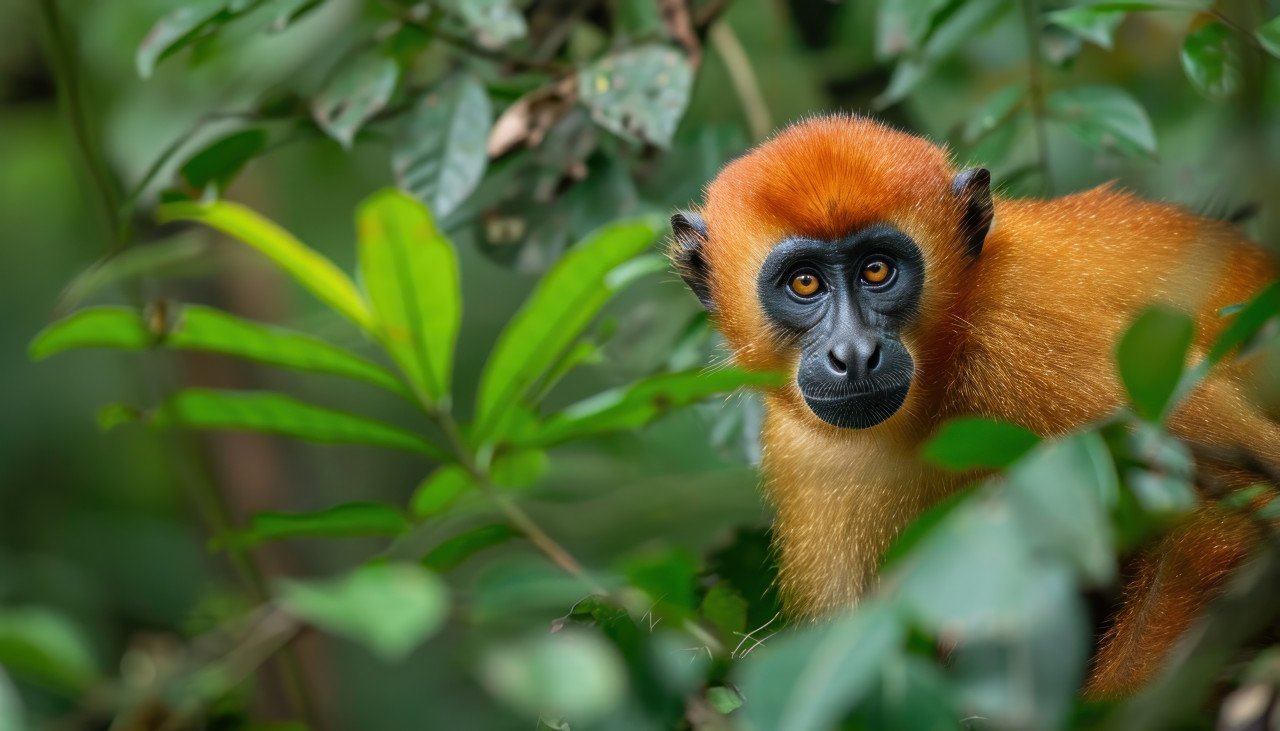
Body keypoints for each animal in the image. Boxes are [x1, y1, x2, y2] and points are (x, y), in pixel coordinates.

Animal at [668, 114, 1280, 698]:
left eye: (877, 270)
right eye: (804, 283)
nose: (854, 354)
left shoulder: (1030, 337)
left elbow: (1226, 525)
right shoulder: (802, 454)